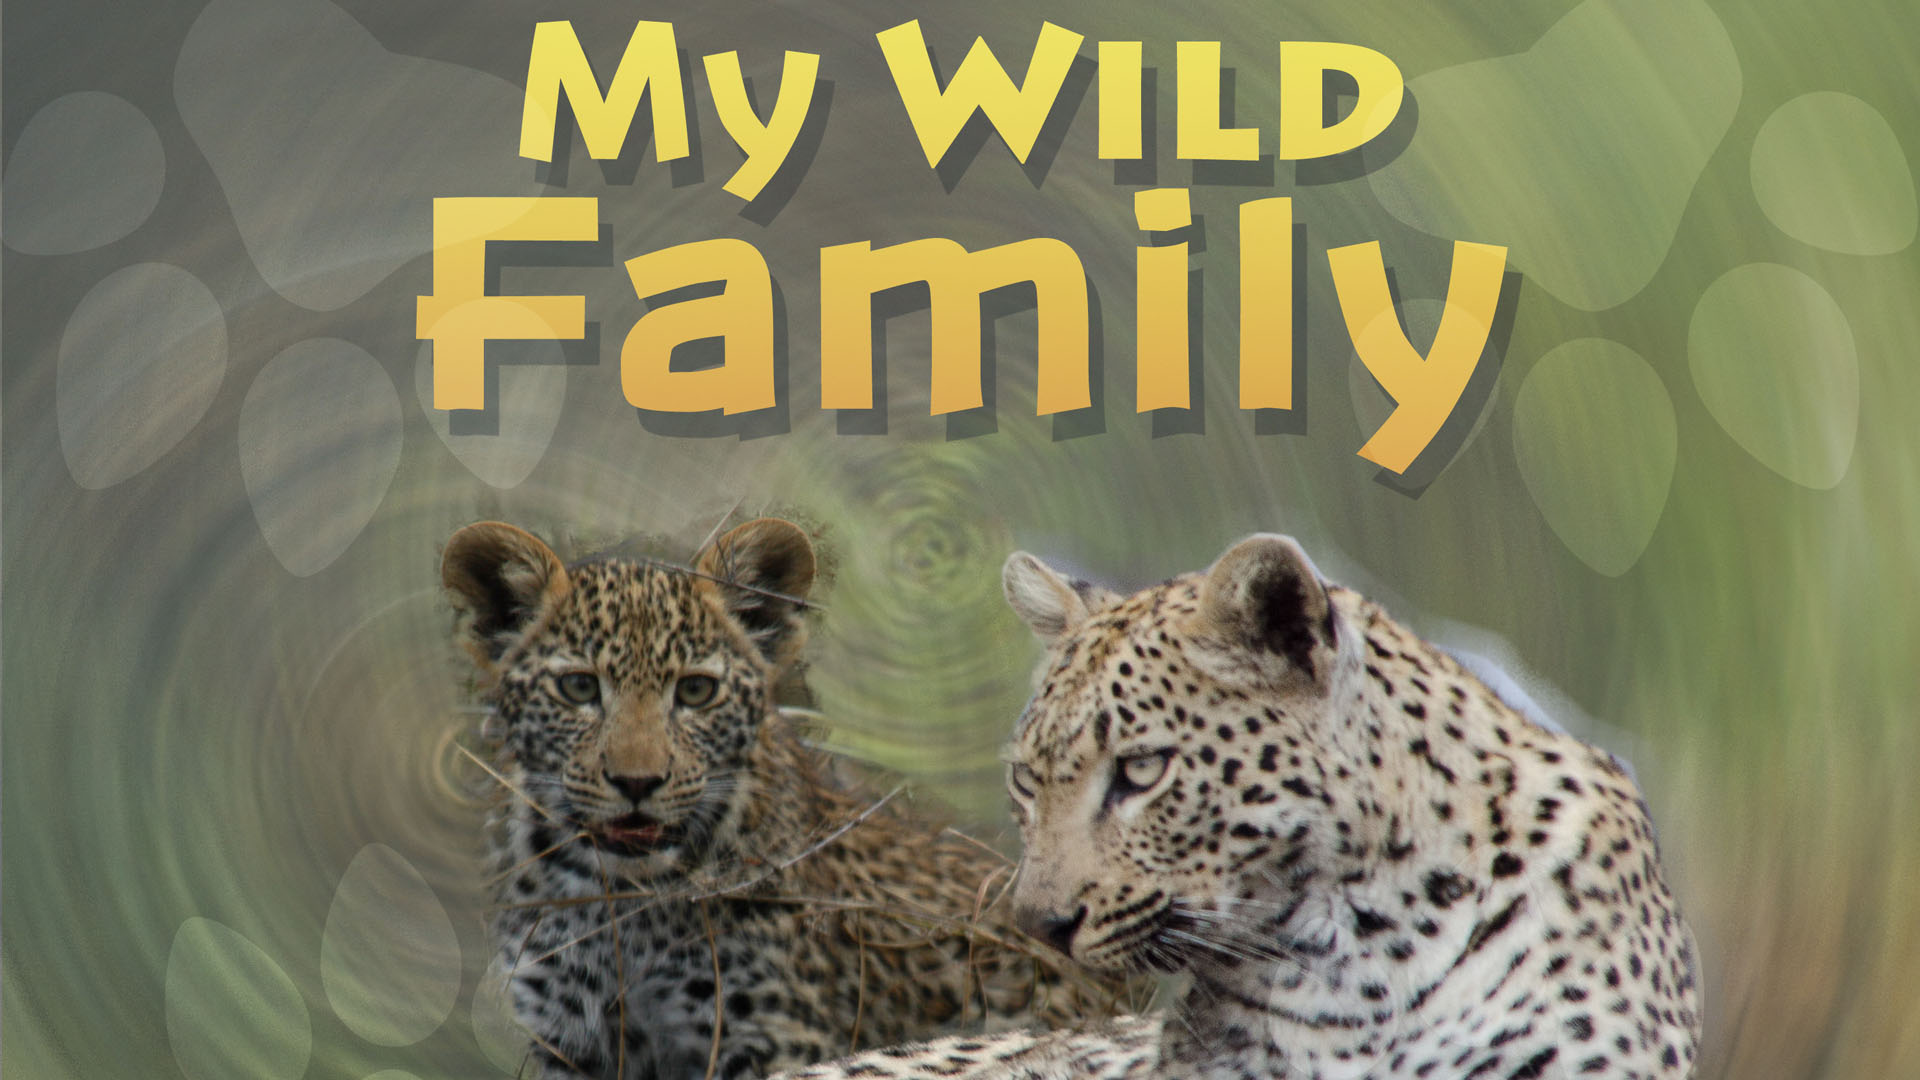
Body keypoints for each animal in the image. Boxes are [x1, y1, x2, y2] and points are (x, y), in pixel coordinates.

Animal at [441, 517, 1125, 1080]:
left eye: (695, 692)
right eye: (579, 688)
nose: (637, 783)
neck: (620, 901)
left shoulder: (769, 1036)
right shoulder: (574, 1042)